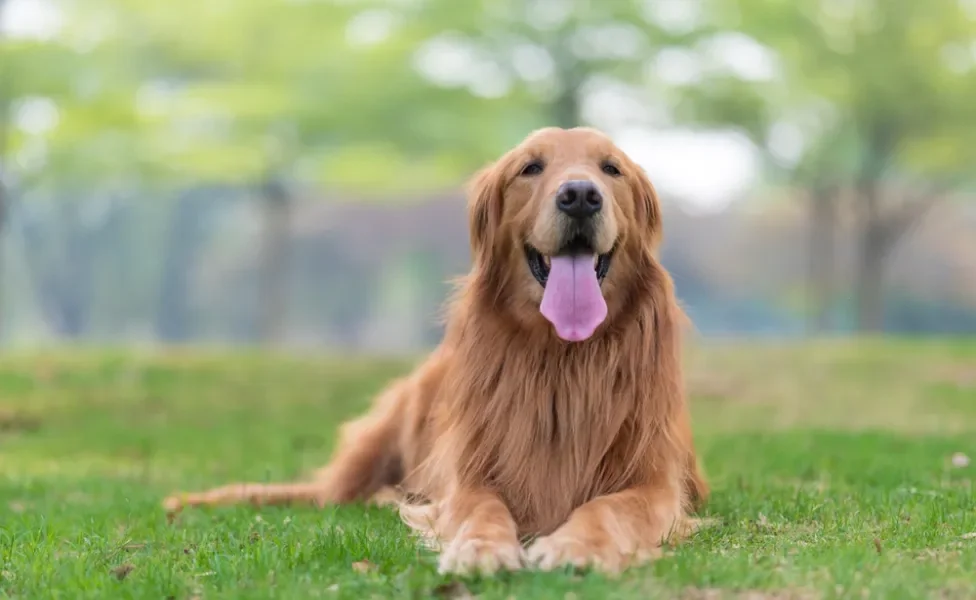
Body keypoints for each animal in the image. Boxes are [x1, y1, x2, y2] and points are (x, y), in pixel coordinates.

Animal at [162, 126, 708, 576]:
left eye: (611, 169)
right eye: (531, 167)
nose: (579, 196)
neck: (562, 356)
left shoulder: (655, 482)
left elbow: (609, 508)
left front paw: (578, 546)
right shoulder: (469, 474)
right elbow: (481, 507)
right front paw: (481, 547)